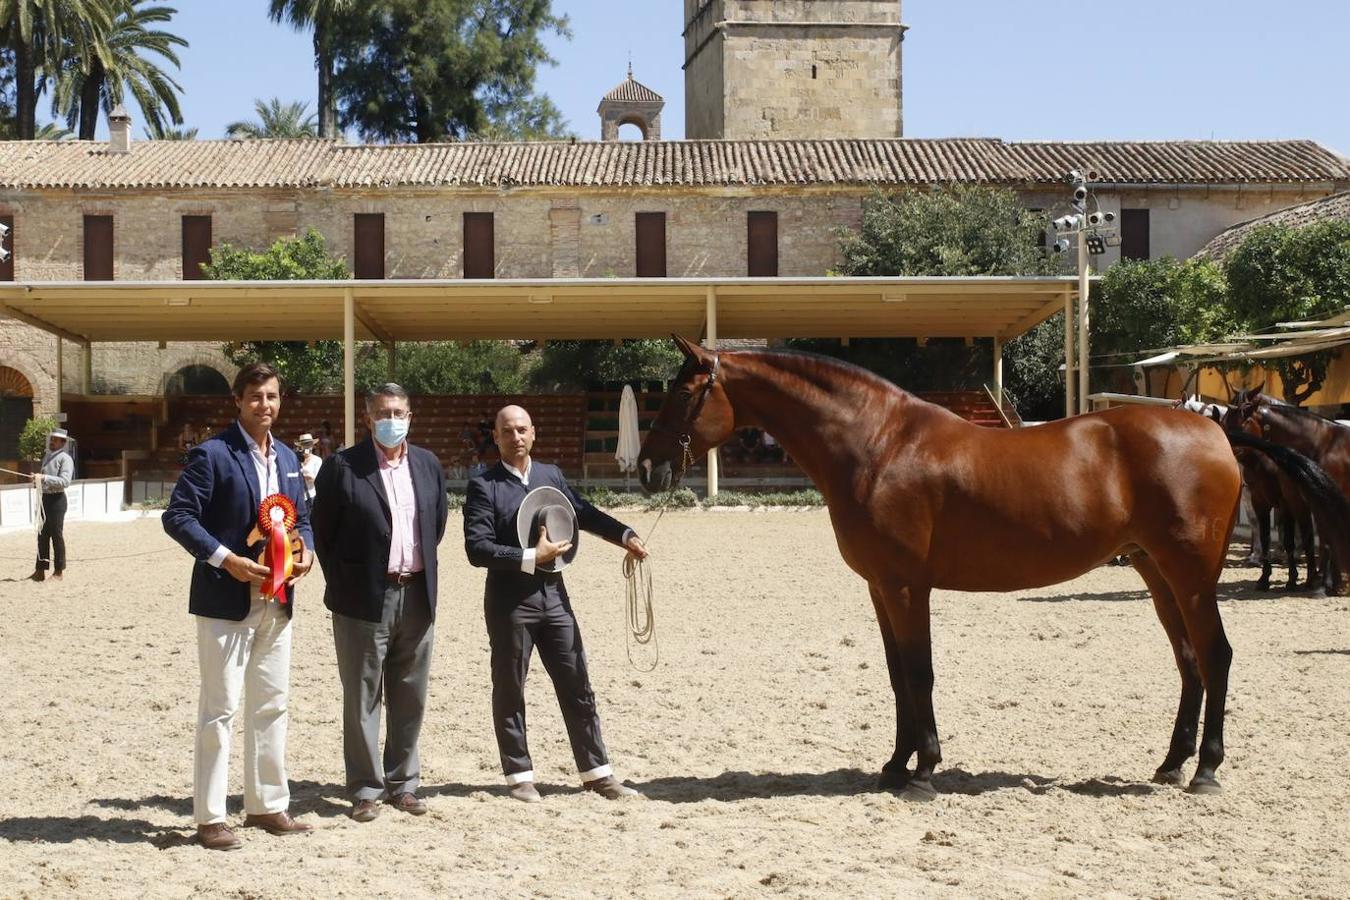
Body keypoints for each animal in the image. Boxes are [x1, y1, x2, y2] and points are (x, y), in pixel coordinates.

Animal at [637, 341, 1236, 798]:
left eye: (685, 393)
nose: (645, 468)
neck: (879, 445)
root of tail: (1214, 435)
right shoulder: (881, 587)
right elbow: (897, 675)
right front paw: (894, 766)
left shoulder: (907, 587)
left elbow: (919, 671)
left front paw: (923, 770)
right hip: (1155, 572)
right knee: (1188, 662)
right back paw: (1172, 764)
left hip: (1190, 577)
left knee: (1215, 656)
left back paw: (1205, 770)